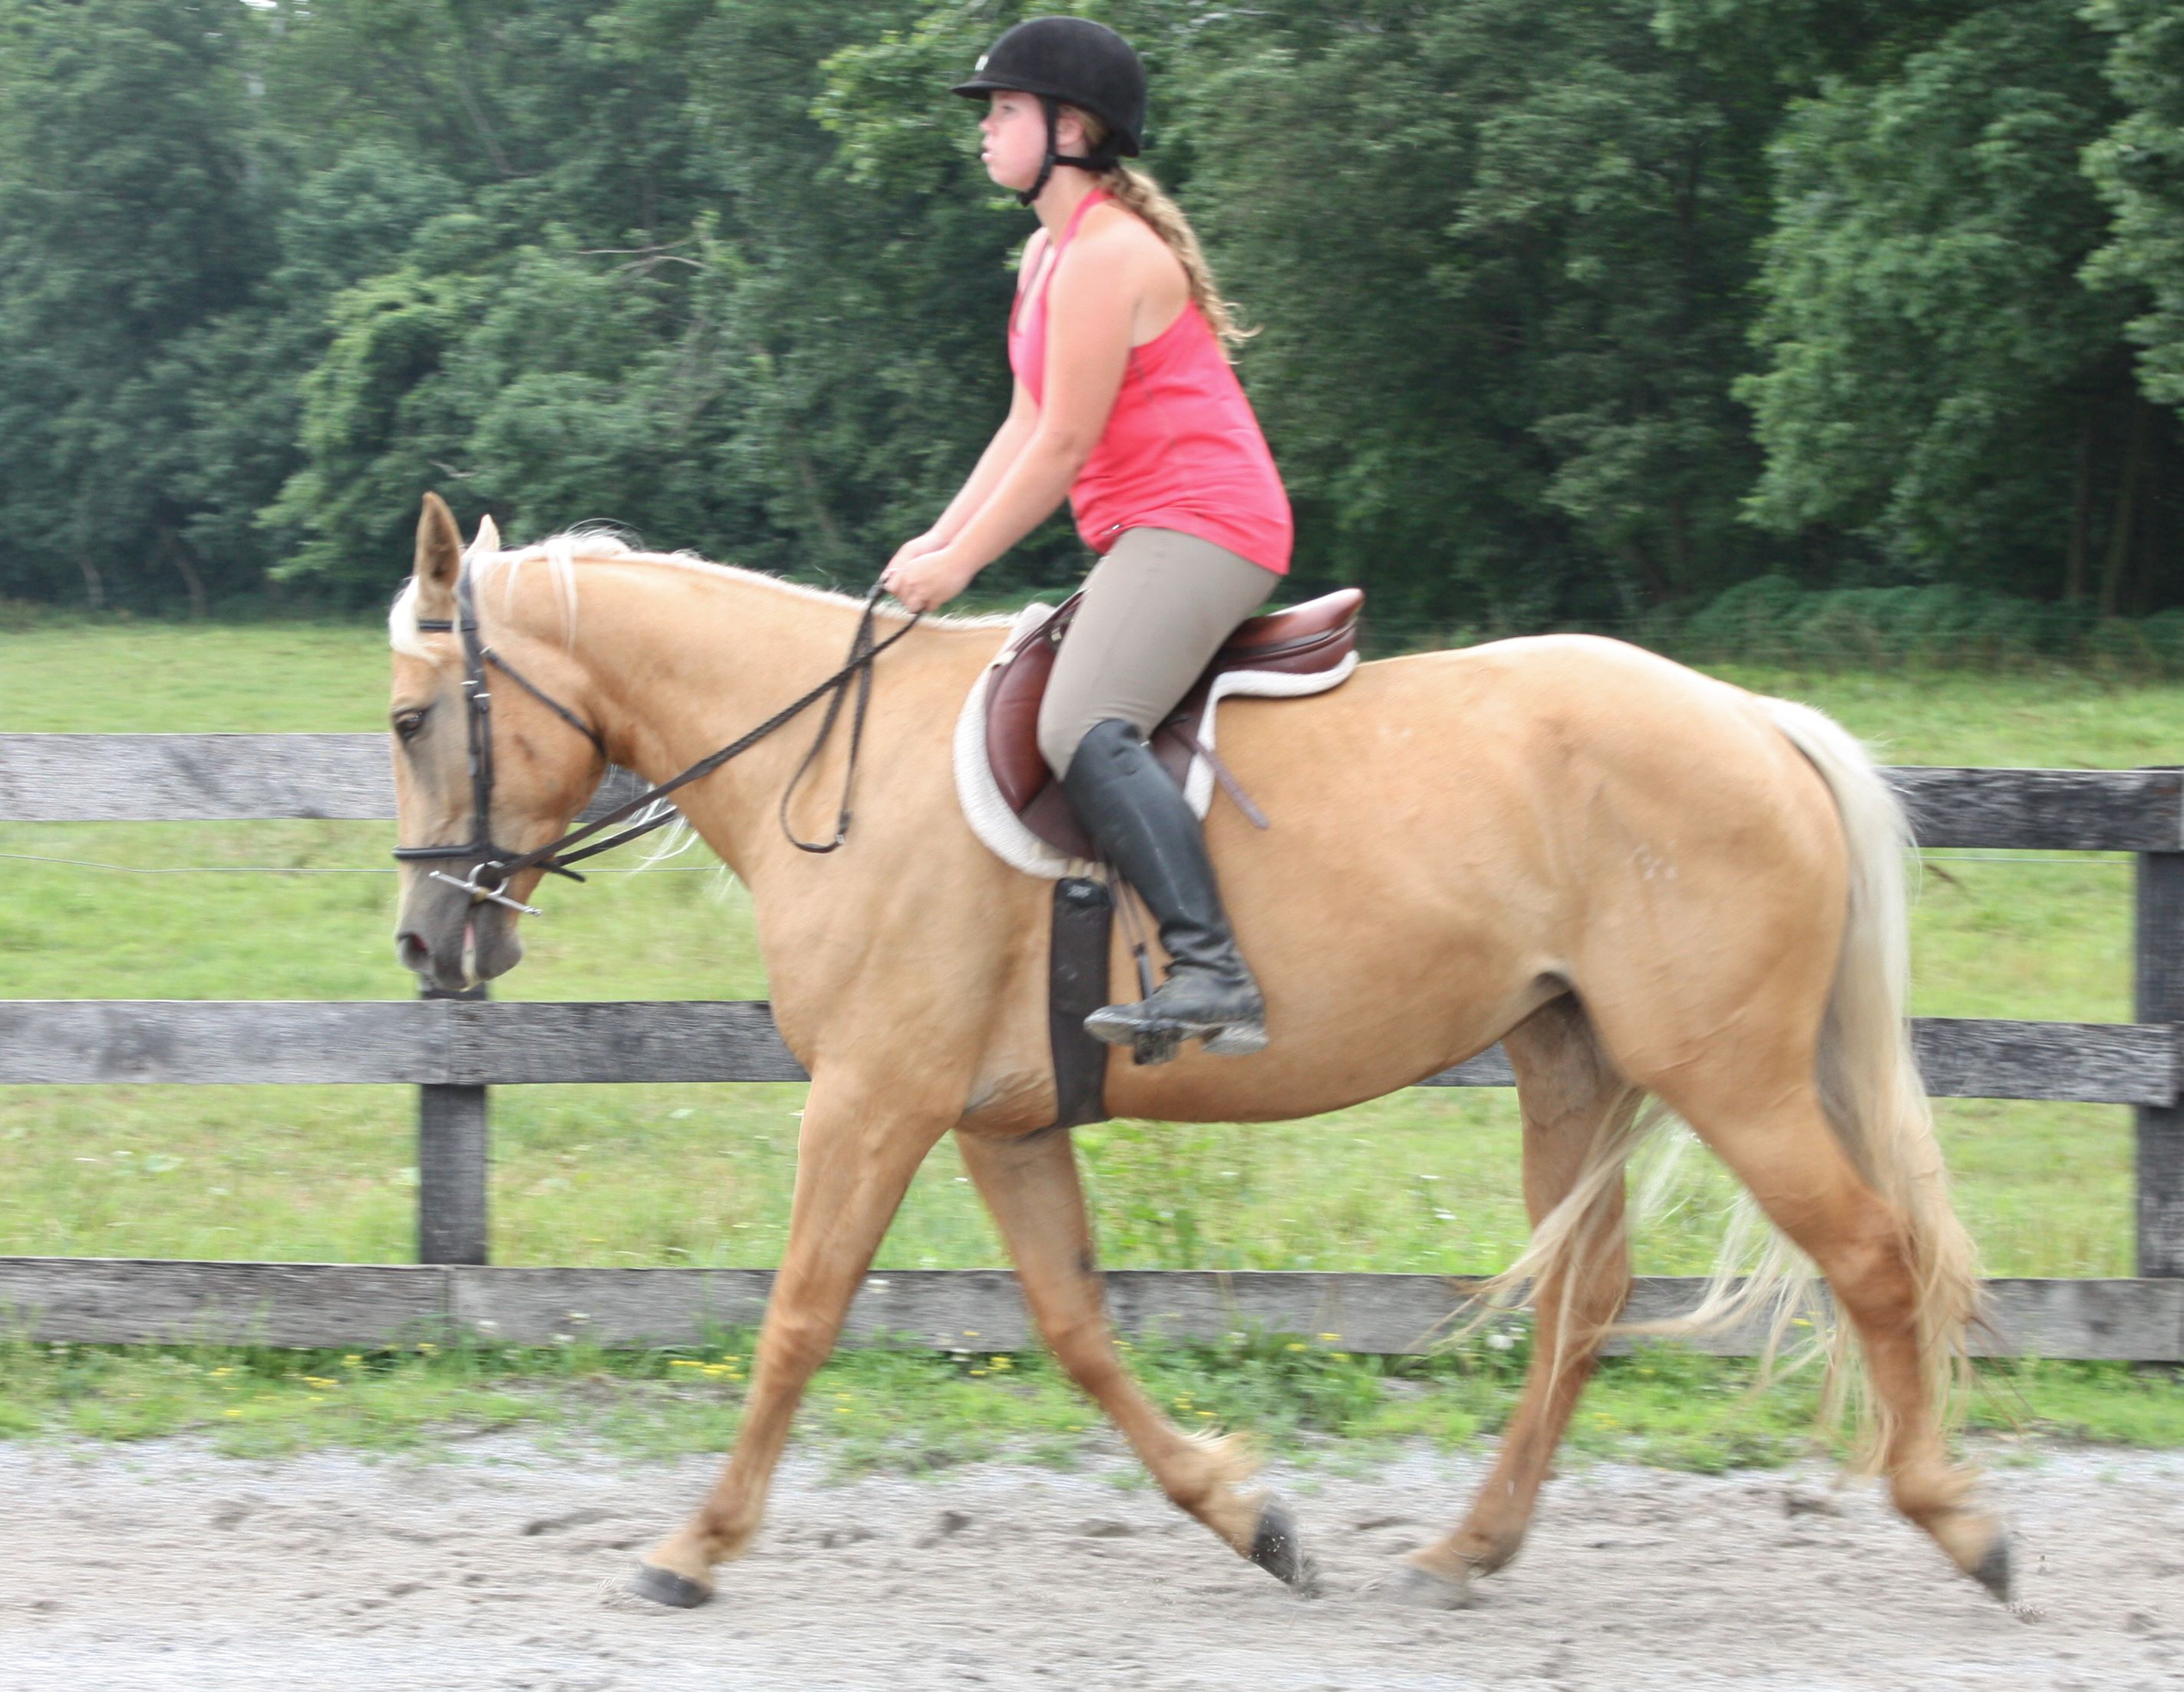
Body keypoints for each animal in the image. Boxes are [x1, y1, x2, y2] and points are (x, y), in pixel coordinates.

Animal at [387, 492, 2006, 1610]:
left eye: (408, 720)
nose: (424, 942)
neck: (836, 761)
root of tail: (1753, 720)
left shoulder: (873, 1098)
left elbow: (797, 1317)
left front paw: (694, 1546)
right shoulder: (999, 1121)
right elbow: (1075, 1329)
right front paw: (1253, 1518)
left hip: (1729, 1075)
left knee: (1868, 1259)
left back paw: (1960, 1519)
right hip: (1573, 1064)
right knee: (1584, 1297)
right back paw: (1469, 1547)